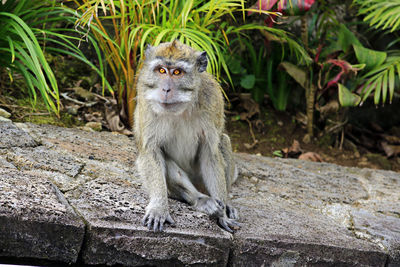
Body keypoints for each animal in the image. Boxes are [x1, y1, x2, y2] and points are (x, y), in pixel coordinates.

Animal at [134, 40, 241, 233]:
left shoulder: (212, 100)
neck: (181, 108)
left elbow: (211, 153)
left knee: (223, 141)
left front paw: (222, 215)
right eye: (161, 70)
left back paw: (224, 204)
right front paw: (159, 208)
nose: (166, 89)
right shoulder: (145, 98)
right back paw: (200, 200)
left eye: (177, 72)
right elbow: (150, 152)